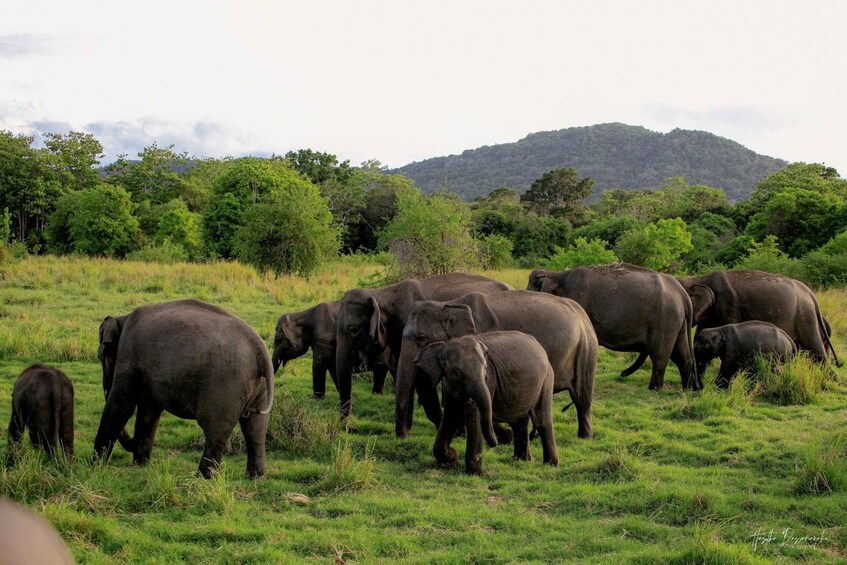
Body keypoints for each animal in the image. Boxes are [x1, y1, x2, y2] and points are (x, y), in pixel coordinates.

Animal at [95, 299, 274, 479]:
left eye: (99, 357)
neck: (122, 319)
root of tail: (260, 350)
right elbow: (149, 410)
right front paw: (141, 466)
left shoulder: (128, 355)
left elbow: (121, 406)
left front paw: (95, 465)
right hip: (258, 387)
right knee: (255, 430)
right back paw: (255, 477)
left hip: (226, 385)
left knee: (216, 431)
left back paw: (202, 477)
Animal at [396, 290, 598, 439]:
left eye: (421, 338)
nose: (405, 436)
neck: (449, 303)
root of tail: (582, 313)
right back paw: (534, 436)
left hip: (586, 351)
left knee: (581, 396)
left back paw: (584, 437)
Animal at [415, 331, 558, 475]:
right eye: (457, 373)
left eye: (485, 370)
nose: (496, 443)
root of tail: (539, 345)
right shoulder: (449, 385)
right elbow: (451, 418)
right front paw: (452, 457)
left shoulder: (489, 382)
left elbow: (474, 418)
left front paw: (475, 474)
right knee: (519, 422)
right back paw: (521, 460)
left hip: (546, 379)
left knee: (541, 421)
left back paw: (550, 465)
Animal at [527, 263, 700, 390]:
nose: (623, 373)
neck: (557, 274)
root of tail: (682, 294)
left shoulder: (578, 302)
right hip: (678, 322)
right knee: (681, 354)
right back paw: (687, 388)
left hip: (665, 318)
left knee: (660, 354)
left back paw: (654, 388)